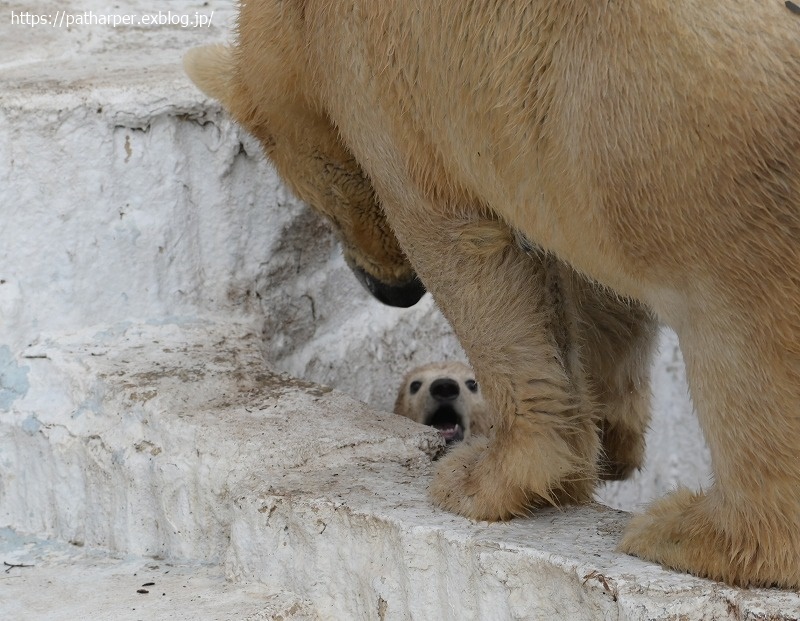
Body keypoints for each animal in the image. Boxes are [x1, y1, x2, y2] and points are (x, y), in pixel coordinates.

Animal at [184, 1, 796, 588]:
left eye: (320, 202)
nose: (394, 291)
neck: (306, 17)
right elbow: (593, 274)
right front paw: (609, 443)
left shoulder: (388, 84)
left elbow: (465, 246)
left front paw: (483, 479)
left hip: (719, 158)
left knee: (739, 330)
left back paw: (692, 534)